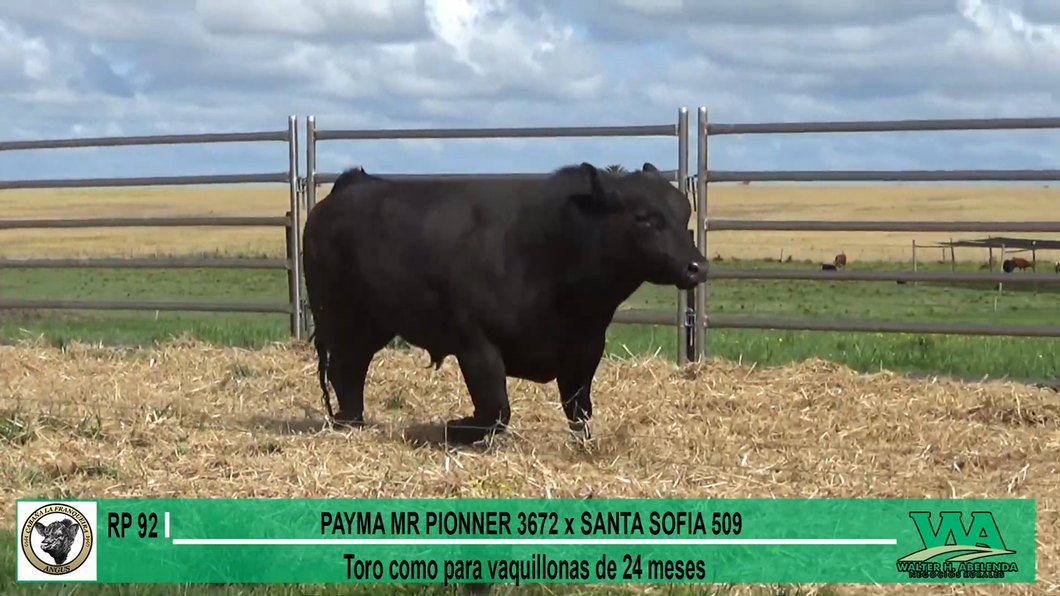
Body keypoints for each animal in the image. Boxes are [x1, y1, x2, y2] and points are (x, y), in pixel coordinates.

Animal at [303, 160, 708, 443]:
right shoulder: (476, 345)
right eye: (645, 218)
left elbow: (579, 411)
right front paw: (454, 428)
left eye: (685, 212)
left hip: (372, 324)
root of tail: (353, 183)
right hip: (341, 318)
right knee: (344, 371)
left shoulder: (585, 350)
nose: (697, 266)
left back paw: (353, 421)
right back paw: (348, 422)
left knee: (352, 371)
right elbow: (497, 410)